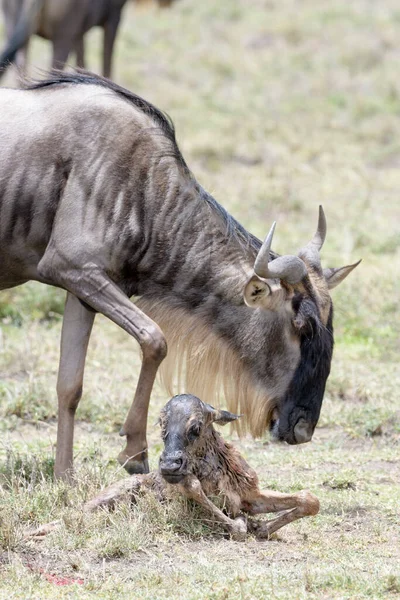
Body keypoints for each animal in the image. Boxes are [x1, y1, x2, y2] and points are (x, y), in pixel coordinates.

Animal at [83, 394, 320, 540]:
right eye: (162, 425)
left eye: (196, 427)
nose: (170, 466)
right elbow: (235, 527)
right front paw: (250, 524)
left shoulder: (248, 495)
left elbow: (309, 500)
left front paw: (261, 528)